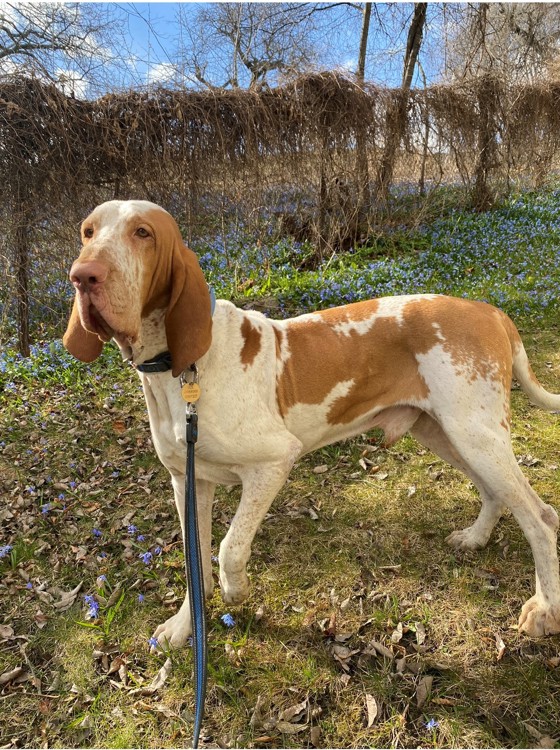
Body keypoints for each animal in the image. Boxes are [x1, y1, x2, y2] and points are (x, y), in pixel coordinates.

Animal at [63, 201, 560, 652]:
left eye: (142, 233)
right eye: (88, 231)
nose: (83, 275)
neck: (178, 370)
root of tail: (489, 311)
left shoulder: (272, 463)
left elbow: (228, 547)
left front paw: (235, 591)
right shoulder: (188, 481)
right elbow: (195, 560)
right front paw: (186, 628)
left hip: (475, 435)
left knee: (540, 517)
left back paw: (544, 609)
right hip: (445, 433)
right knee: (496, 493)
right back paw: (476, 538)